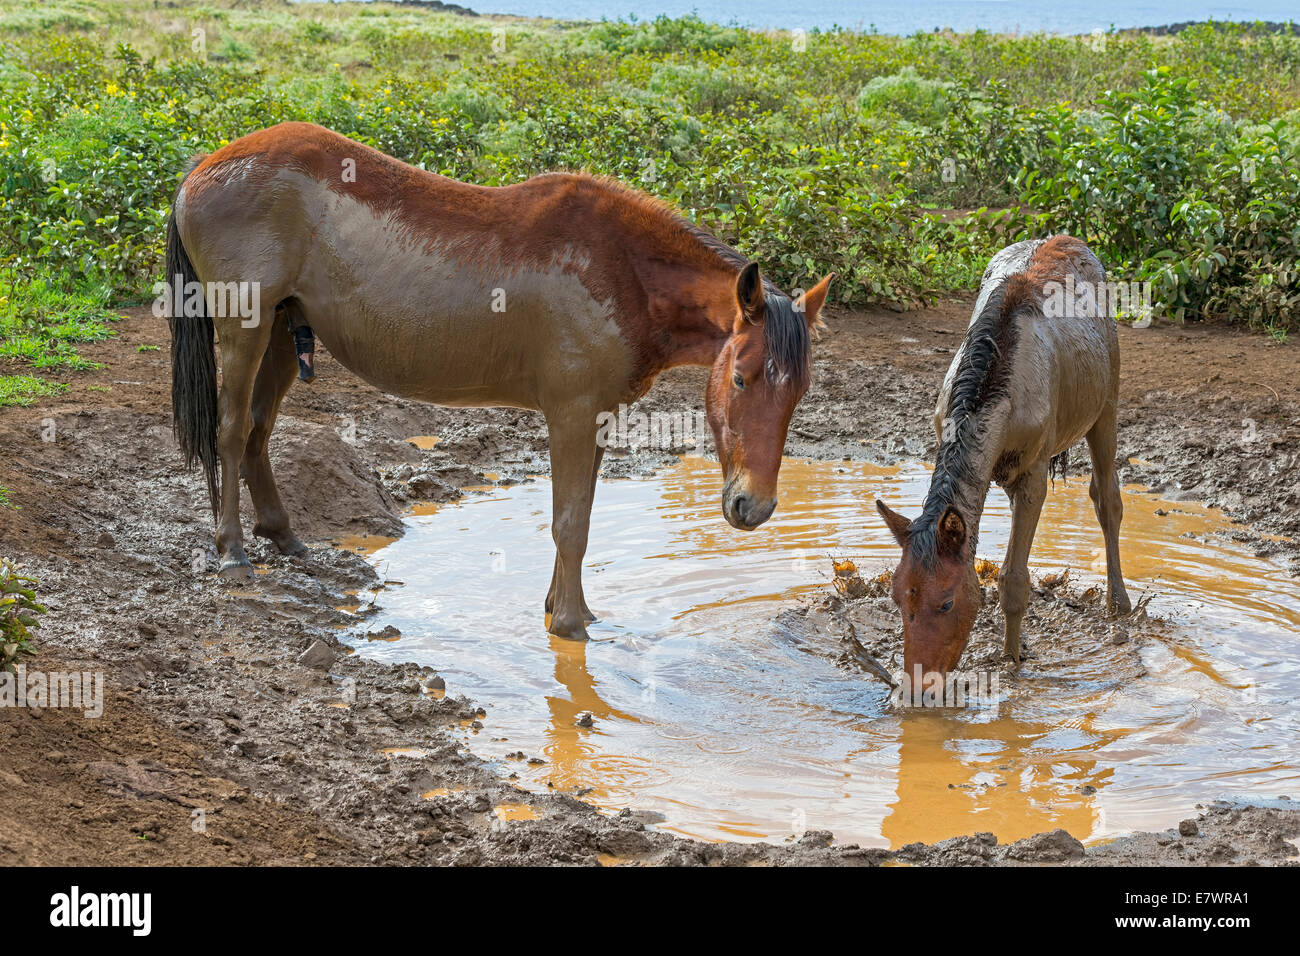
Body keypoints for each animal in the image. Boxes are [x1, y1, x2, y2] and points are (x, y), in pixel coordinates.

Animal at [165, 121, 832, 642]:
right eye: (741, 380)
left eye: (797, 393)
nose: (754, 507)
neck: (623, 271)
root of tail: (207, 166)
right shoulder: (570, 413)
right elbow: (569, 522)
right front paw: (570, 624)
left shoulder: (596, 417)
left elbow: (582, 515)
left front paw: (566, 607)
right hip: (245, 329)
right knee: (230, 432)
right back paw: (233, 553)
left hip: (282, 332)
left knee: (258, 432)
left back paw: (283, 537)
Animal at [873, 239, 1128, 686]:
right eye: (897, 597)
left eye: (946, 603)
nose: (918, 687)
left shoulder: (1034, 476)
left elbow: (1014, 578)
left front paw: (1011, 659)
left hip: (1106, 405)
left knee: (1107, 498)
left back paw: (1119, 603)